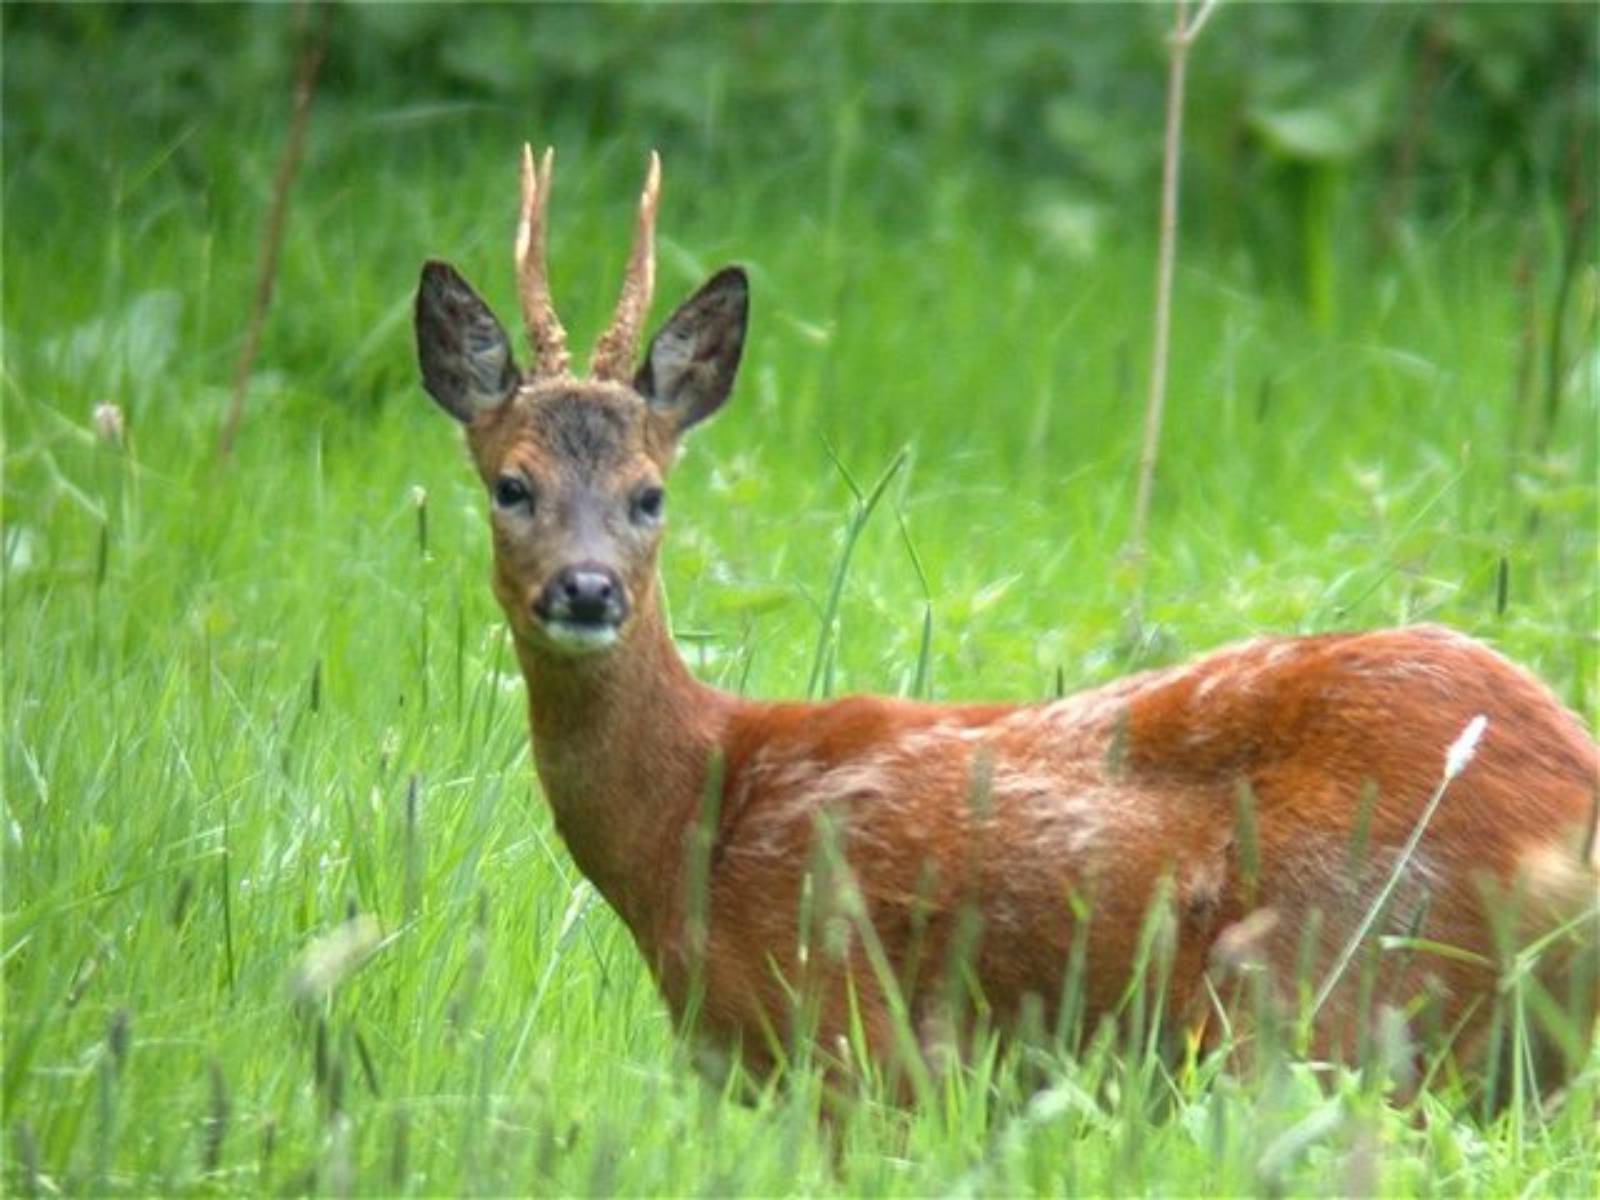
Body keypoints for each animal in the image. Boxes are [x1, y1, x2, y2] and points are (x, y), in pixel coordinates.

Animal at [416, 148, 1600, 1100]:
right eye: (511, 485)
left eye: (649, 493)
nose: (584, 590)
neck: (692, 820)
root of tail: (1570, 795)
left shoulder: (845, 1037)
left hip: (1333, 994)